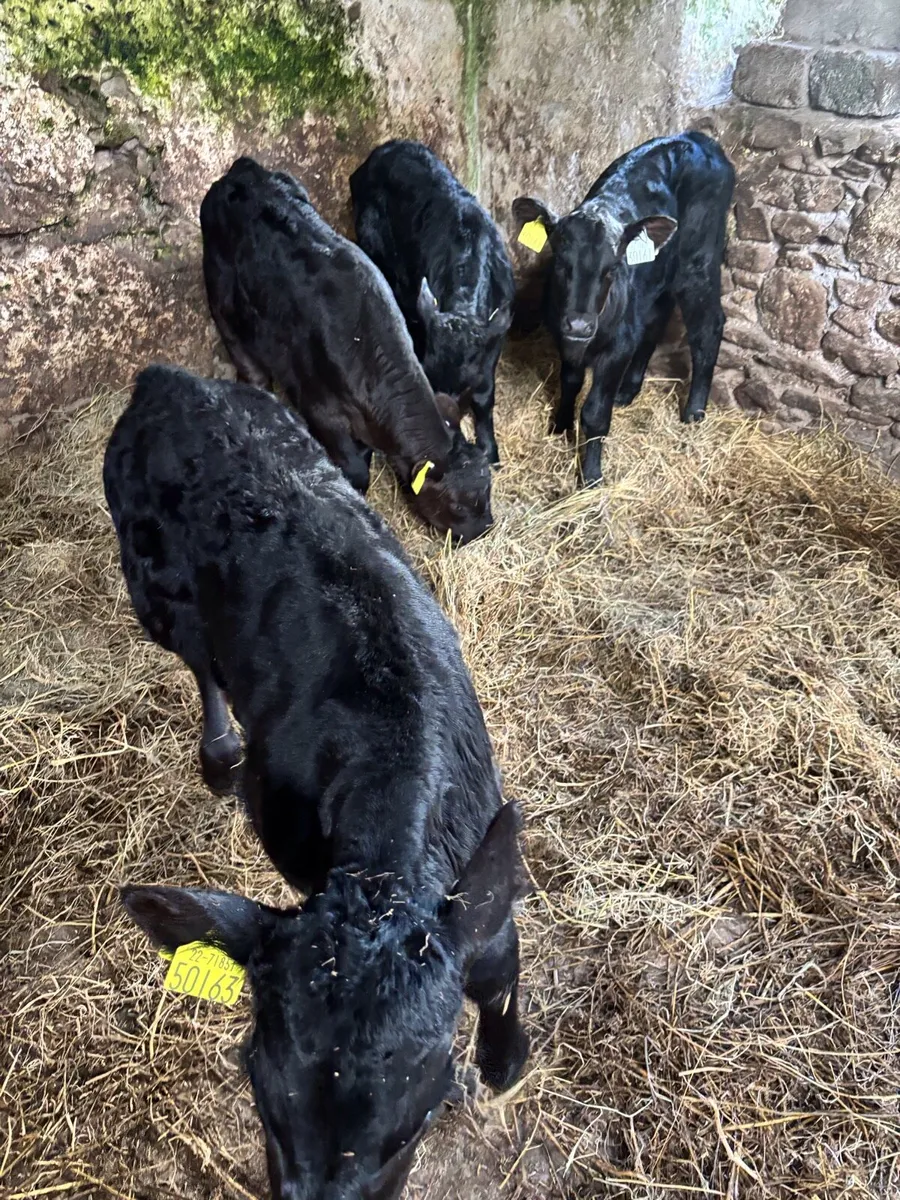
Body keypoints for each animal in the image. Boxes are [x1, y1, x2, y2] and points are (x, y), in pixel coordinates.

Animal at [104, 365, 529, 1200]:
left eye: (416, 1122)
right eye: (259, 1096)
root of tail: (170, 377)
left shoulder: (479, 878)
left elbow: (499, 968)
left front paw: (504, 1063)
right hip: (153, 595)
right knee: (201, 664)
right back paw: (219, 755)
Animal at [200, 156, 493, 545]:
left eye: (488, 487)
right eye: (457, 504)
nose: (484, 528)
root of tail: (242, 171)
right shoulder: (319, 408)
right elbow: (355, 471)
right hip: (221, 294)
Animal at [512, 132, 735, 485]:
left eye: (612, 269)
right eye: (560, 263)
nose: (579, 324)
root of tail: (695, 136)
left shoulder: (615, 349)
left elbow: (594, 412)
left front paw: (590, 475)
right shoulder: (565, 336)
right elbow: (570, 381)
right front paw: (560, 425)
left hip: (699, 261)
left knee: (708, 327)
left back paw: (694, 411)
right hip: (659, 277)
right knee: (656, 321)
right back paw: (629, 390)